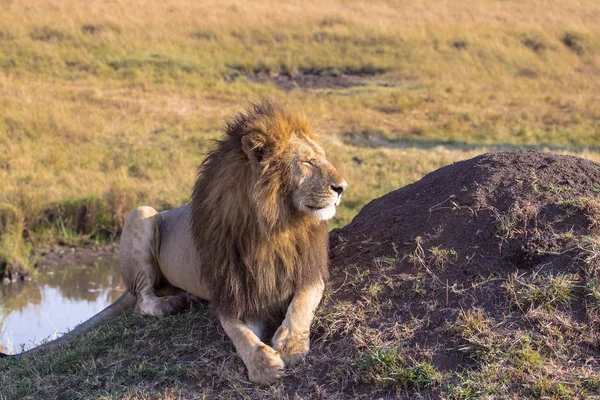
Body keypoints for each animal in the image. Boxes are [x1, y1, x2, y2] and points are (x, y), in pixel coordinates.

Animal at [2, 101, 346, 384]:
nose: (342, 186)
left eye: (322, 158)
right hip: (141, 214)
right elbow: (242, 336)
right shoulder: (232, 294)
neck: (274, 228)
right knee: (141, 300)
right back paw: (172, 304)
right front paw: (264, 366)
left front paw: (291, 345)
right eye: (308, 162)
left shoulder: (309, 271)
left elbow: (301, 304)